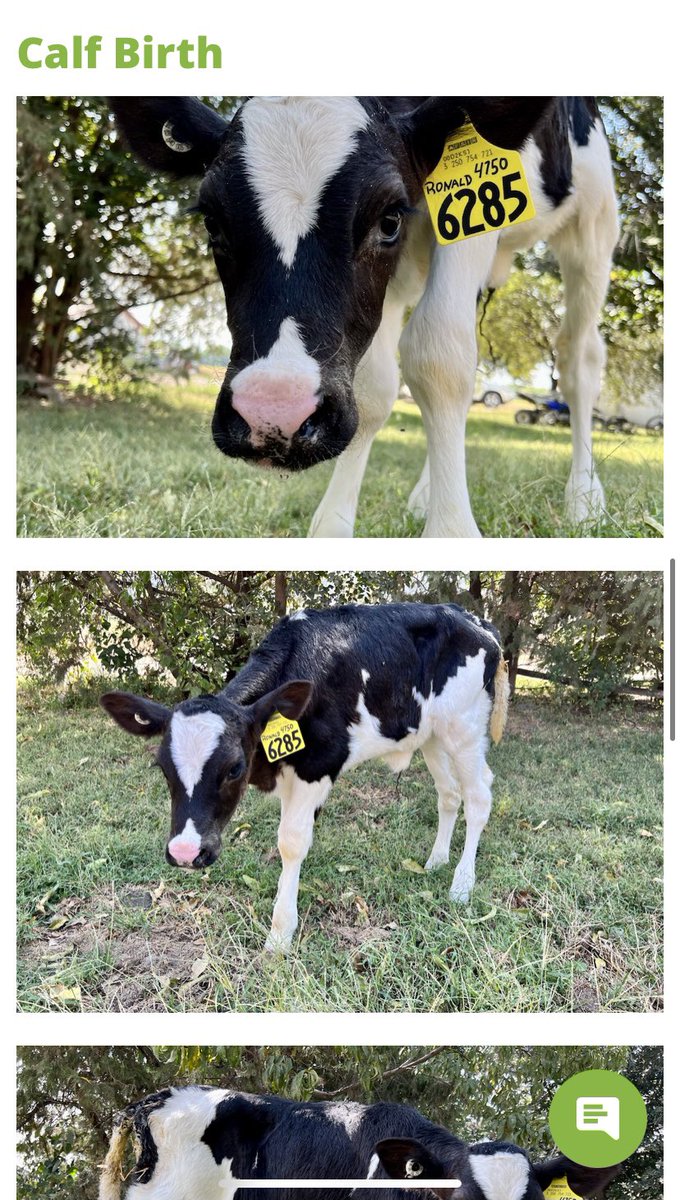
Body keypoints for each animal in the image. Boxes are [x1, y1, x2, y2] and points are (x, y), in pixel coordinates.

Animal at [100, 601, 509, 952]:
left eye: (234, 768)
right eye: (162, 767)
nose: (185, 852)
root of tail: (476, 621)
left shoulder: (319, 765)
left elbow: (291, 843)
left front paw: (280, 934)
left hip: (465, 728)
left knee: (478, 797)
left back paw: (462, 885)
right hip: (433, 735)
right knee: (449, 794)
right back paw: (436, 861)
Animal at [110, 96, 618, 538]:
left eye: (388, 219)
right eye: (213, 222)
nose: (274, 414)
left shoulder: (467, 211)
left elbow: (438, 353)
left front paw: (450, 532)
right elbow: (375, 386)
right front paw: (332, 528)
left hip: (593, 225)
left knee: (579, 359)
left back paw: (584, 499)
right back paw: (425, 494)